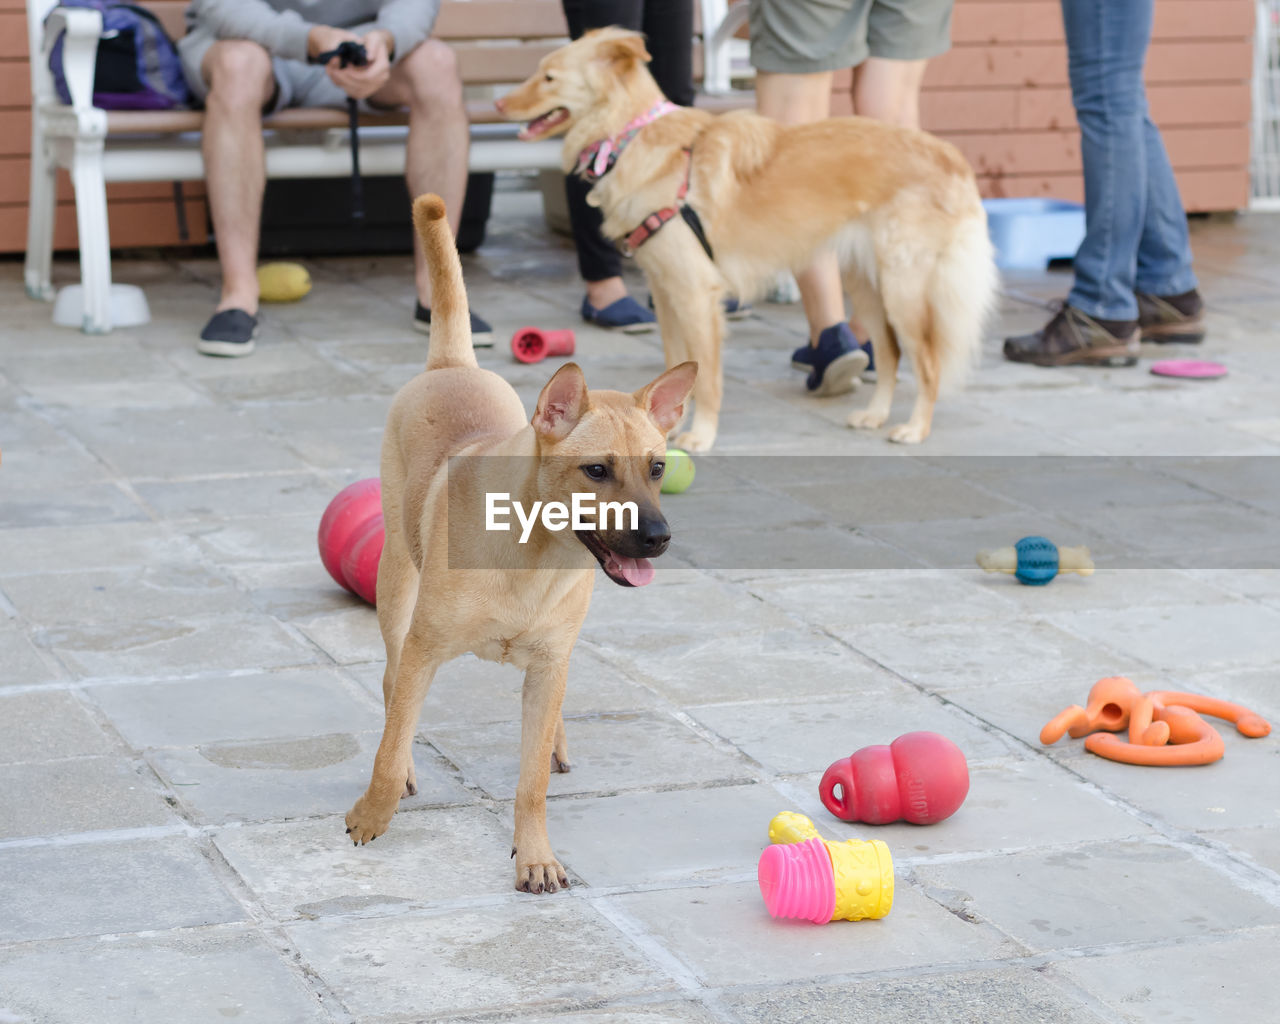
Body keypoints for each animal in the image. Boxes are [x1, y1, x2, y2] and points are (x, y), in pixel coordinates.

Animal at [345, 192, 696, 896]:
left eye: (657, 468)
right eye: (596, 470)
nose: (659, 538)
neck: (535, 556)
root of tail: (452, 365)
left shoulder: (550, 662)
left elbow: (530, 784)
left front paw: (535, 857)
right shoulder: (425, 649)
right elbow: (393, 741)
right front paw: (373, 810)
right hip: (396, 580)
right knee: (391, 682)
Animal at [499, 27, 998, 448]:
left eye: (548, 77)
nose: (500, 106)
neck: (631, 134)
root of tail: (949, 153)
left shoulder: (697, 294)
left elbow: (707, 379)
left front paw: (700, 435)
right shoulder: (666, 291)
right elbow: (671, 368)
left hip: (902, 288)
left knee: (927, 362)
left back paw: (915, 427)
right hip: (866, 286)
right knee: (891, 354)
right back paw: (875, 414)